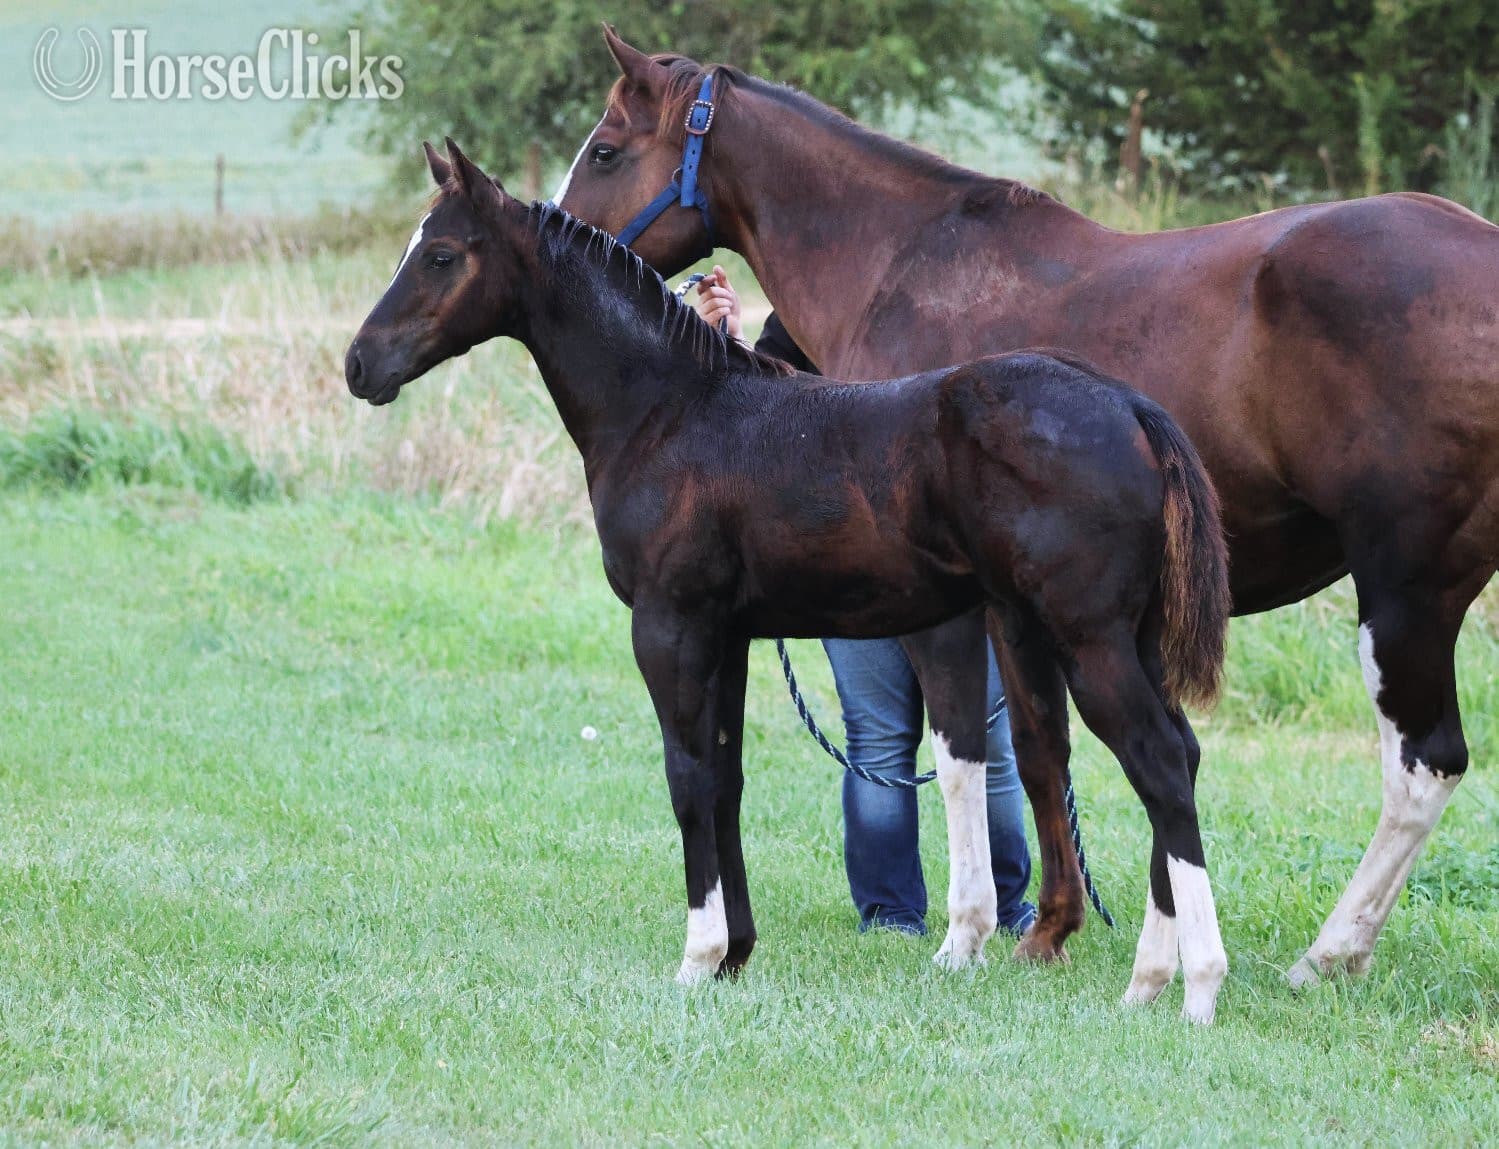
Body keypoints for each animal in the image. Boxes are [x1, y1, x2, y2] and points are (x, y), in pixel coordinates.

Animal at [344, 140, 1233, 1021]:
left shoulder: (669, 625)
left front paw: (698, 956)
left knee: (1158, 763)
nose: (359, 364)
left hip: (1088, 638)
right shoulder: (729, 634)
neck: (672, 411)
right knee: (1181, 757)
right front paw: (735, 953)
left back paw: (1196, 985)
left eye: (441, 253)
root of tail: (1127, 407)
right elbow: (725, 778)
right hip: (1128, 638)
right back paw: (1147, 979)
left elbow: (687, 776)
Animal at [552, 28, 1499, 994]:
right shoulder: (1017, 608)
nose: (566, 235)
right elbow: (1046, 753)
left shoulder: (953, 612)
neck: (901, 264)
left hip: (1405, 595)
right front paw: (1050, 927)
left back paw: (1328, 951)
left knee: (1423, 764)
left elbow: (970, 756)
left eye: (606, 150)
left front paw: (971, 932)